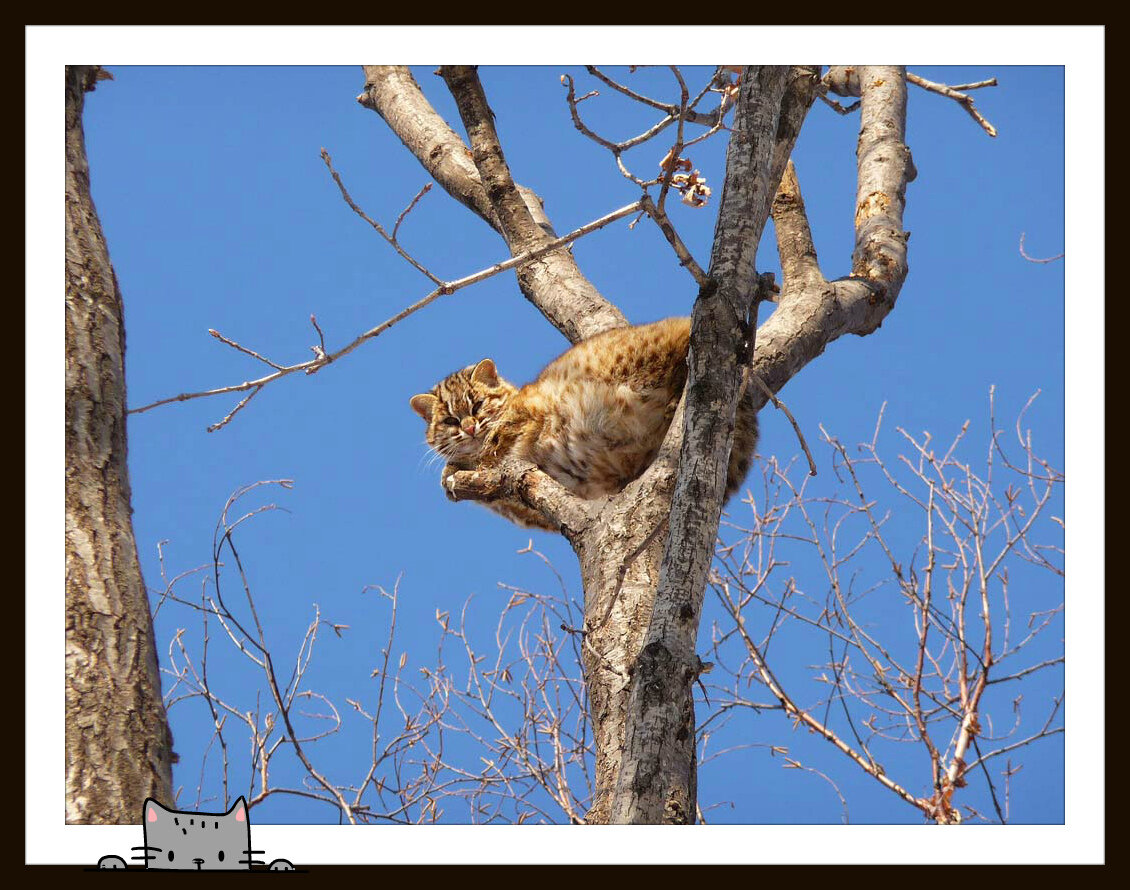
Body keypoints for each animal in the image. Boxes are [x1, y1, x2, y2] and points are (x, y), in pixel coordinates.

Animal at [409, 318, 759, 530]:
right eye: (450, 420)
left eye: (477, 405)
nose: (469, 427)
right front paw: (453, 470)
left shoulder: (528, 413)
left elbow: (496, 442)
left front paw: (464, 464)